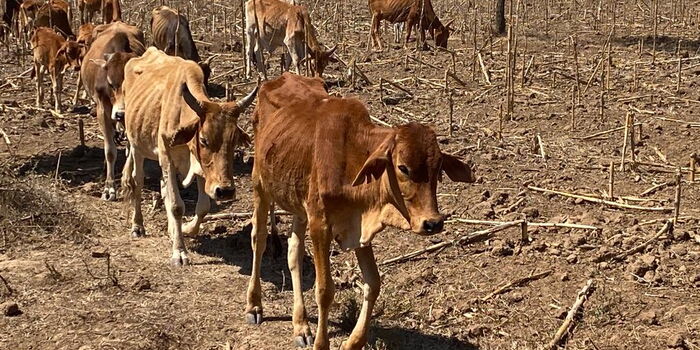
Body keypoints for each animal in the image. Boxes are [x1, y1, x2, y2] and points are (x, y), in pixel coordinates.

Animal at [80, 21, 144, 201]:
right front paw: (109, 189)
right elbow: (110, 151)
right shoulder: (103, 109)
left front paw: (129, 180)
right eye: (110, 83)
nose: (121, 113)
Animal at [120, 47, 258, 266]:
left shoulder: (201, 169)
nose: (225, 191)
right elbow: (176, 205)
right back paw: (137, 226)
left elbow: (203, 207)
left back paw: (170, 229)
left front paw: (184, 229)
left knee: (162, 188)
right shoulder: (167, 157)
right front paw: (179, 252)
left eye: (234, 140)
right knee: (136, 181)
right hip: (136, 146)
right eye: (203, 139)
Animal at [246, 72, 476, 348]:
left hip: (298, 202)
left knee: (294, 252)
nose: (433, 223)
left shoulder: (358, 227)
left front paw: (353, 342)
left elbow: (373, 283)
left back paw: (300, 325)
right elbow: (324, 290)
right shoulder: (320, 224)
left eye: (439, 167)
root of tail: (279, 78)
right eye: (403, 167)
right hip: (260, 185)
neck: (351, 155)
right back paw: (254, 305)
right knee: (258, 239)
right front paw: (322, 344)